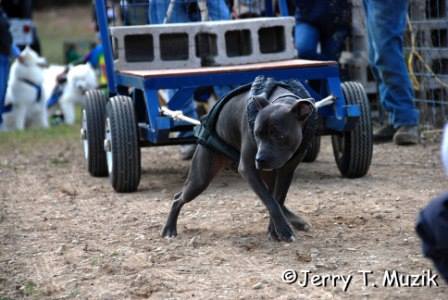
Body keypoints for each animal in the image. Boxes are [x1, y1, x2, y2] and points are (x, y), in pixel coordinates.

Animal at [163, 77, 316, 241]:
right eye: (256, 134)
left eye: (279, 136)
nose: (259, 159)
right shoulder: (248, 169)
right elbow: (271, 201)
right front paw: (282, 230)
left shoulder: (287, 171)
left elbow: (277, 199)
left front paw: (275, 230)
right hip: (200, 178)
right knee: (178, 197)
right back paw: (169, 229)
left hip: (267, 173)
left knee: (274, 195)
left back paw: (296, 221)